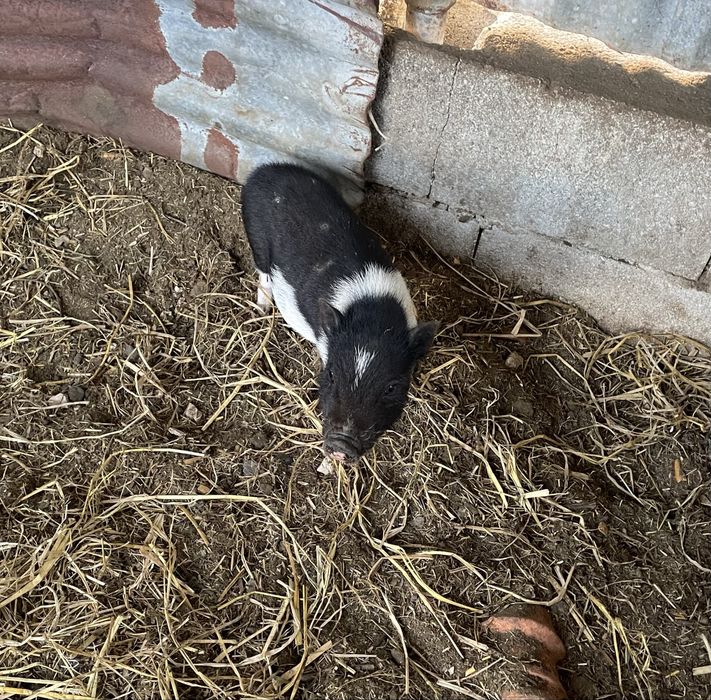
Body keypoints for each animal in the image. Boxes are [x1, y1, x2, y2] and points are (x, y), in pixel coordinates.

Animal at [241, 163, 438, 463]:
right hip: (256, 238)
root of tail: (264, 170)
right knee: (263, 271)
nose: (341, 447)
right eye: (332, 374)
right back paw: (263, 306)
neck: (374, 316)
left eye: (391, 387)